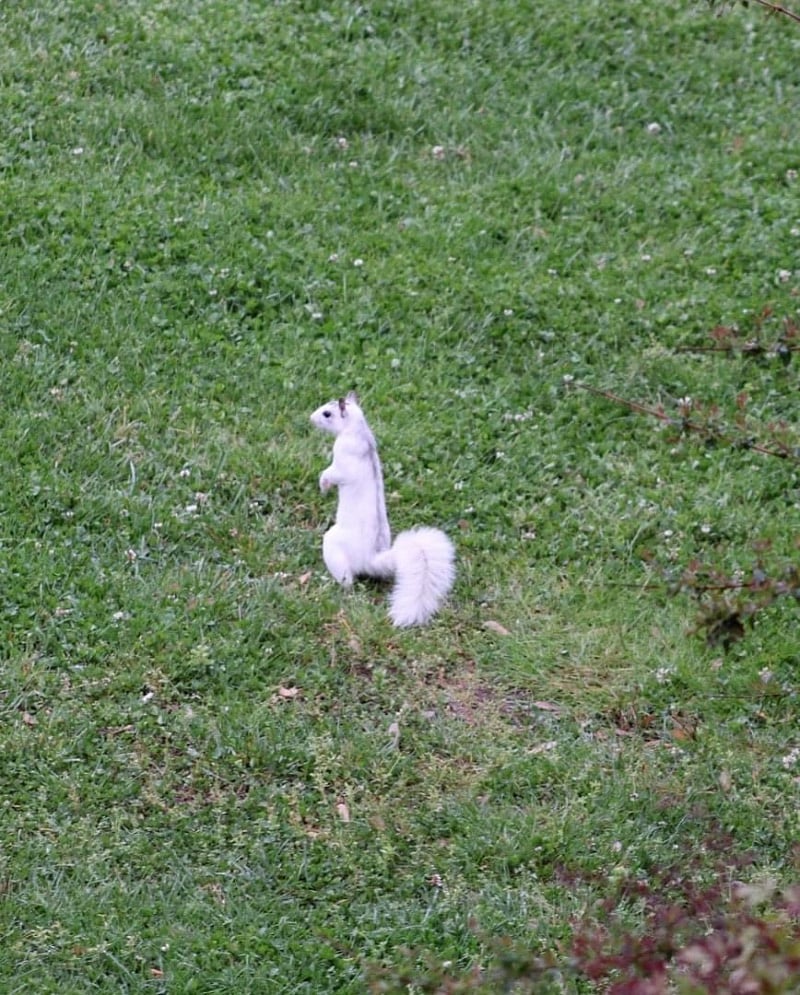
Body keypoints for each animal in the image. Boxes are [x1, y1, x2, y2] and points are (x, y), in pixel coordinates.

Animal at [310, 392, 455, 627]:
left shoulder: (343, 458)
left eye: (327, 413)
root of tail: (370, 560)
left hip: (334, 548)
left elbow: (333, 473)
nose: (311, 418)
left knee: (347, 578)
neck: (357, 430)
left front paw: (323, 484)